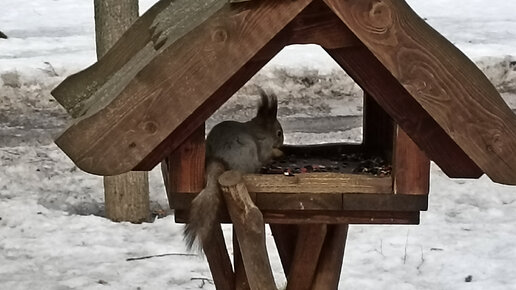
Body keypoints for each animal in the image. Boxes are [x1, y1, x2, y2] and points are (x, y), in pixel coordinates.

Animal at [183, 87, 284, 250]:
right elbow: (266, 155)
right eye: (279, 133)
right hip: (246, 152)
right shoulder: (264, 146)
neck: (261, 131)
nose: (282, 142)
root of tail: (217, 159)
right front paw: (278, 153)